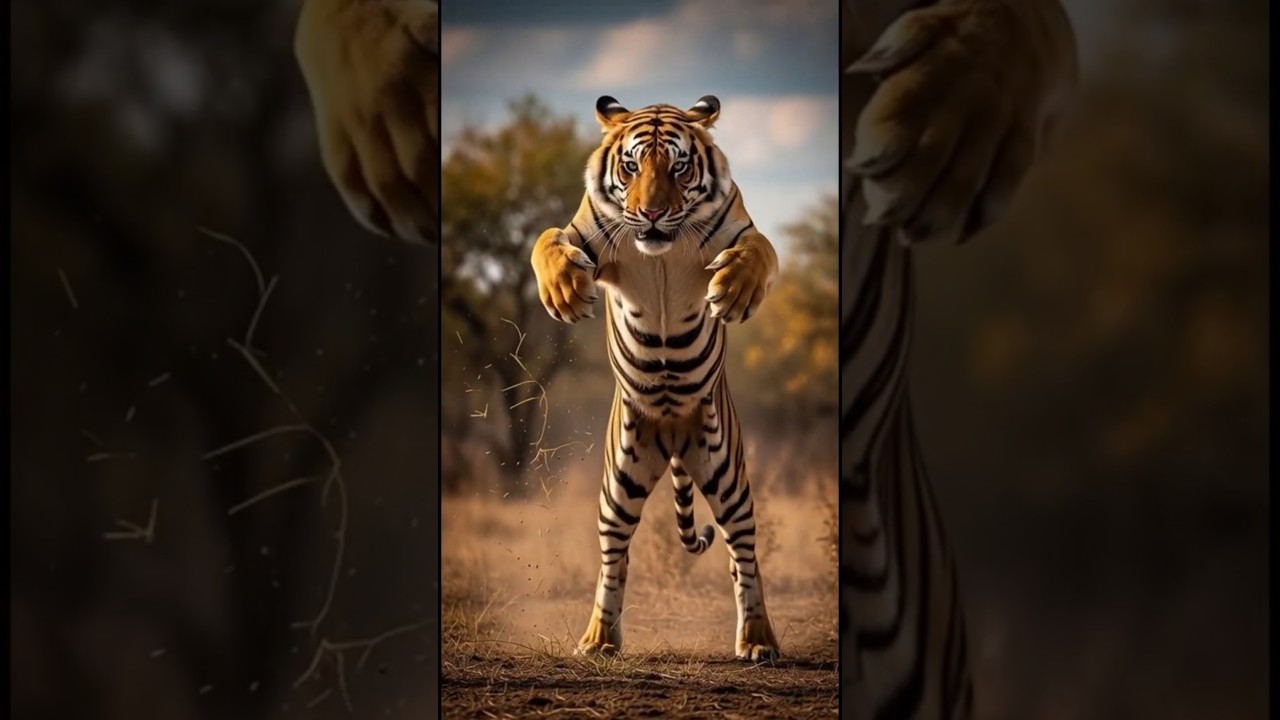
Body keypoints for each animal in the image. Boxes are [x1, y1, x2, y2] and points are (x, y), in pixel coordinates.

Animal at [530, 95, 783, 661]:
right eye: (631, 166)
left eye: (679, 167)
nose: (650, 213)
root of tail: (671, 437)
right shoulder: (585, 236)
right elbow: (546, 239)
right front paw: (563, 292)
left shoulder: (742, 232)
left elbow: (759, 249)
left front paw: (735, 291)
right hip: (617, 486)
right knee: (614, 559)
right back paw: (598, 639)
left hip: (729, 478)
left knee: (745, 558)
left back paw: (759, 641)